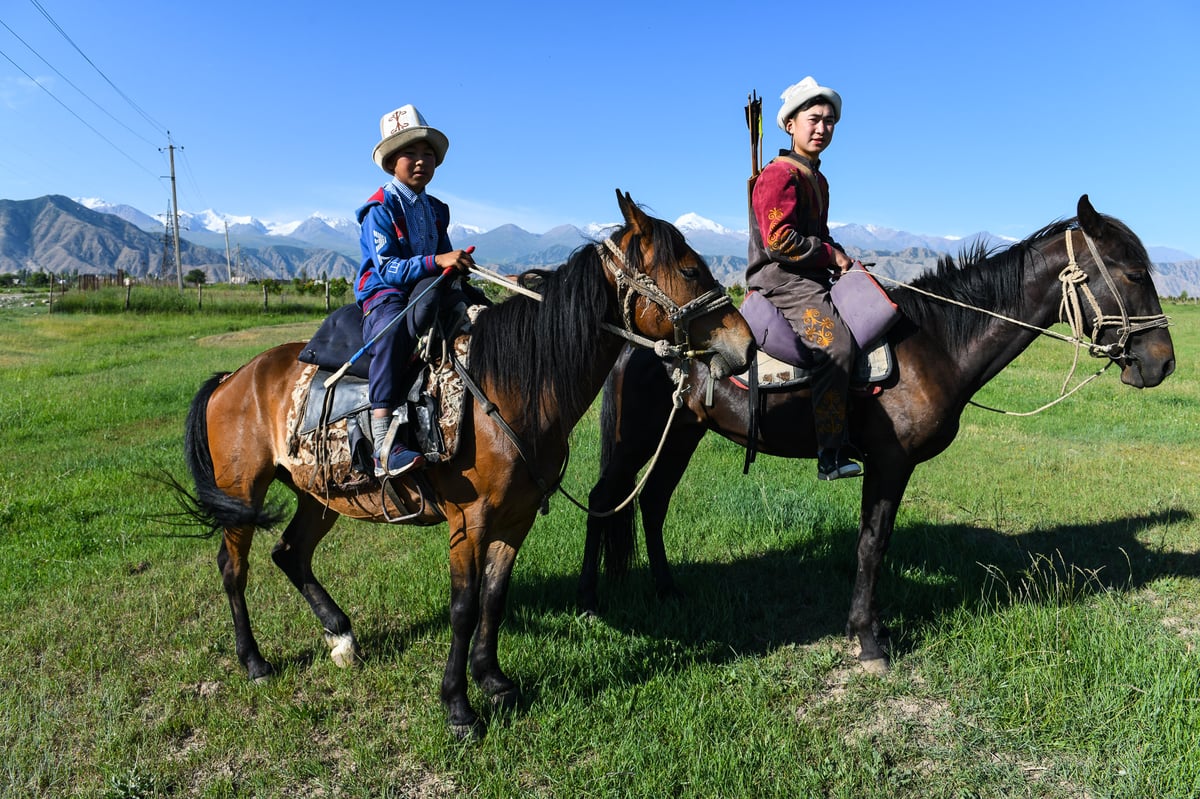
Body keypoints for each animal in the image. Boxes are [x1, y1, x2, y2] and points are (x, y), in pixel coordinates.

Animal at [176, 189, 748, 739]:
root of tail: (234, 378)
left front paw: (493, 680)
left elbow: (494, 597)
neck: (512, 386)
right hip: (243, 495)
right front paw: (458, 706)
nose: (744, 345)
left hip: (319, 494)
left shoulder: (515, 518)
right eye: (690, 270)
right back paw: (255, 662)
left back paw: (341, 637)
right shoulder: (468, 523)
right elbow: (464, 607)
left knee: (290, 553)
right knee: (234, 569)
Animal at [578, 195, 1171, 667]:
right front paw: (868, 639)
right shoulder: (889, 462)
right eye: (1133, 274)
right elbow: (873, 544)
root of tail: (640, 338)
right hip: (637, 439)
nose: (1162, 362)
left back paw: (666, 589)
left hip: (681, 433)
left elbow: (871, 543)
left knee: (652, 501)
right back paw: (587, 605)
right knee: (606, 499)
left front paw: (865, 628)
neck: (935, 341)